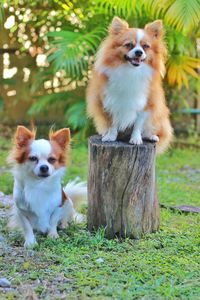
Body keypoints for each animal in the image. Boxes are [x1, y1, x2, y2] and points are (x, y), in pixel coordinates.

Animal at [86, 17, 173, 152]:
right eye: (129, 45)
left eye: (145, 46)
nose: (138, 52)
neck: (131, 71)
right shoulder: (110, 102)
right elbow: (113, 123)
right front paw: (111, 137)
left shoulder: (146, 105)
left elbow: (138, 124)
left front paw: (136, 139)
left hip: (159, 118)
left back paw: (152, 136)